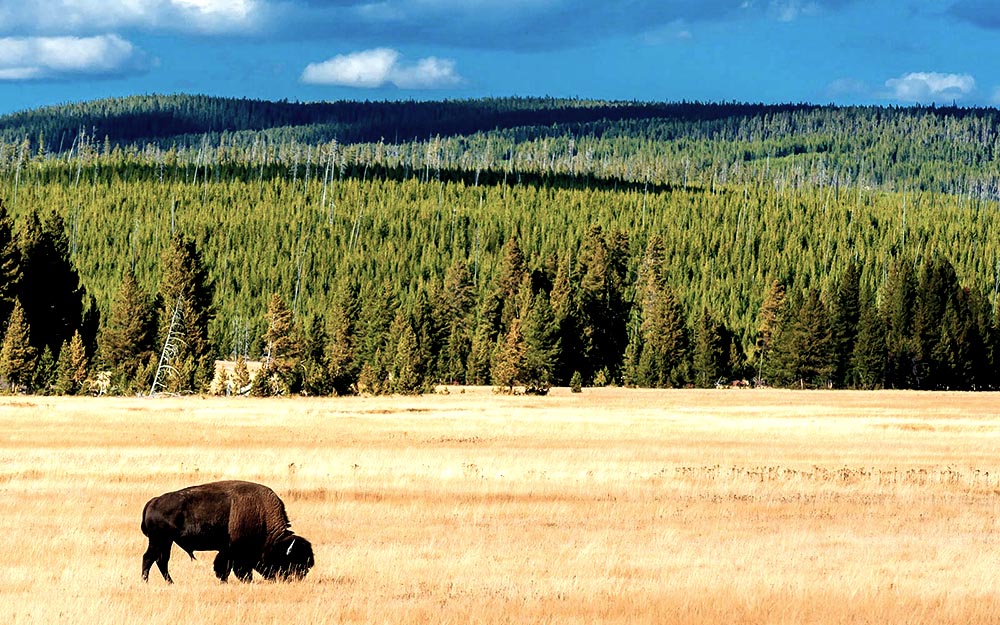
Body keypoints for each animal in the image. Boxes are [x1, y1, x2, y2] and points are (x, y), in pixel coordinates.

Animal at [141, 480, 312, 584]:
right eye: (292, 563)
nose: (296, 579)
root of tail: (153, 501)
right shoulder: (235, 552)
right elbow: (230, 568)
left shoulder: (227, 551)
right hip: (159, 541)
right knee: (149, 558)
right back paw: (146, 582)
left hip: (166, 542)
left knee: (161, 561)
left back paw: (170, 583)